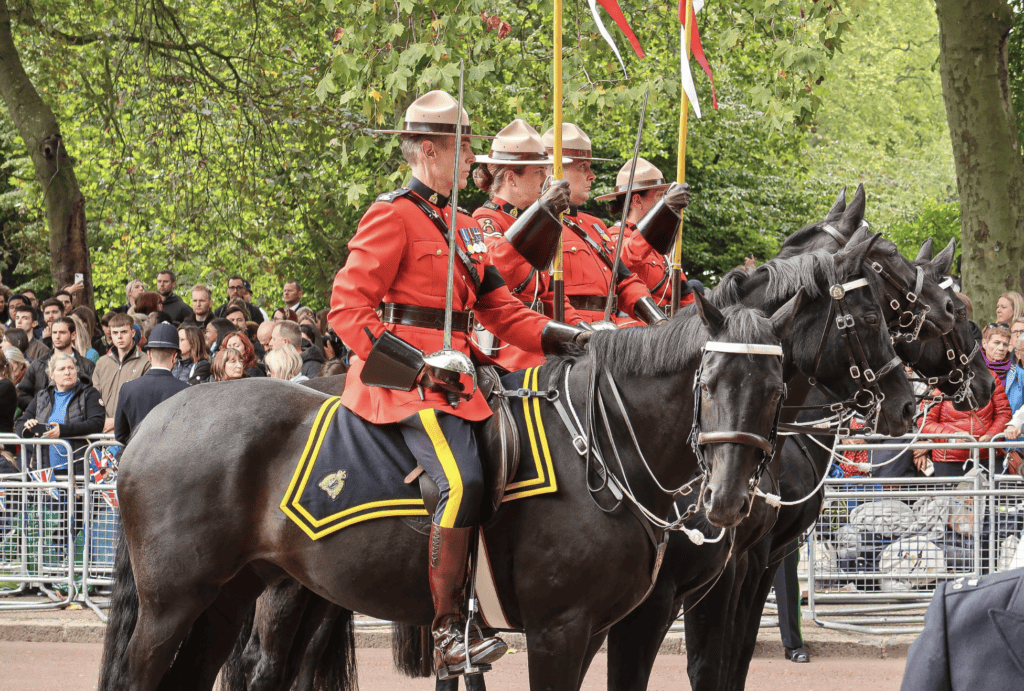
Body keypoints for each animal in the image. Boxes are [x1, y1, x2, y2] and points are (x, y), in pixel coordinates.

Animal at [96, 294, 802, 691]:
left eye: (776, 388)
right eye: (708, 381)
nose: (728, 501)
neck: (600, 447)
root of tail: (154, 421)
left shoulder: (605, 626)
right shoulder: (564, 628)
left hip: (231, 597)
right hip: (174, 602)